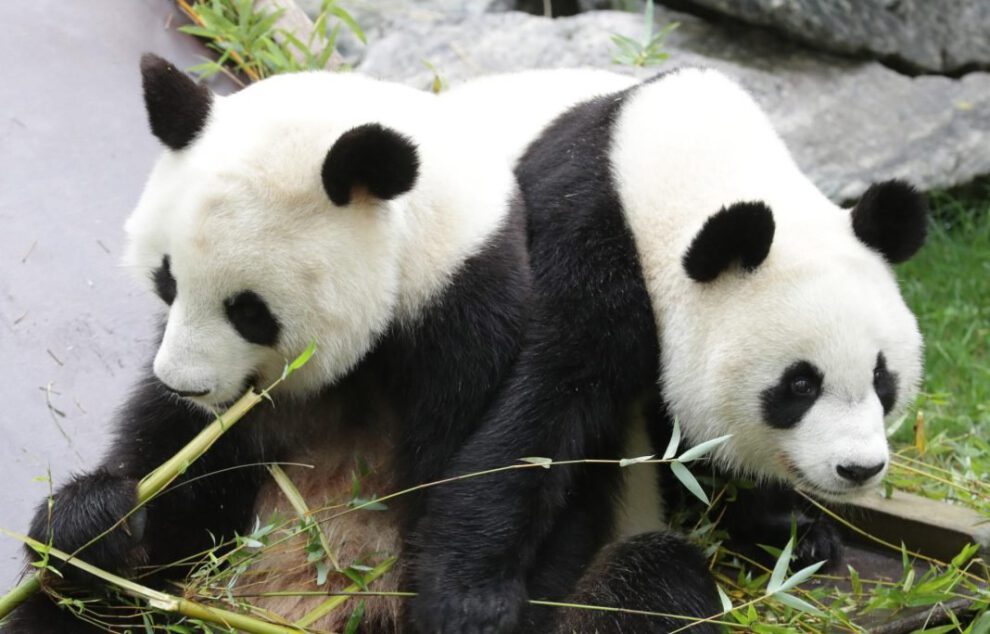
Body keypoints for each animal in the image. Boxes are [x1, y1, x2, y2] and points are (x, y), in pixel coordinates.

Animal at [411, 67, 927, 633]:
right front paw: (472, 602)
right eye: (799, 385)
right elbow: (542, 406)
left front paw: (791, 534)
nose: (858, 469)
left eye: (882, 379)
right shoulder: (584, 233)